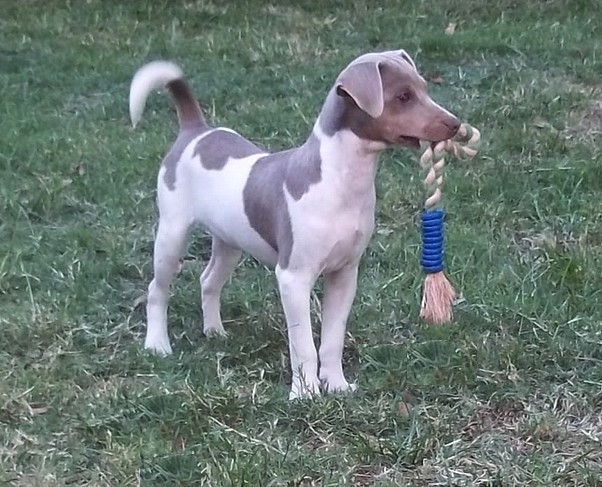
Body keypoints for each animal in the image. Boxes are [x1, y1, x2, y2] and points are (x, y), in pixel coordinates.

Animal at [129, 49, 458, 400]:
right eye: (404, 97)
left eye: (424, 87)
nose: (455, 124)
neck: (339, 181)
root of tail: (196, 130)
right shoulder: (293, 278)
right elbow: (303, 345)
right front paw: (305, 393)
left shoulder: (345, 274)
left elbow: (332, 339)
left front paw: (336, 384)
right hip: (172, 234)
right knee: (157, 290)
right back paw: (157, 345)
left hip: (230, 241)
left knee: (208, 280)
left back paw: (214, 331)